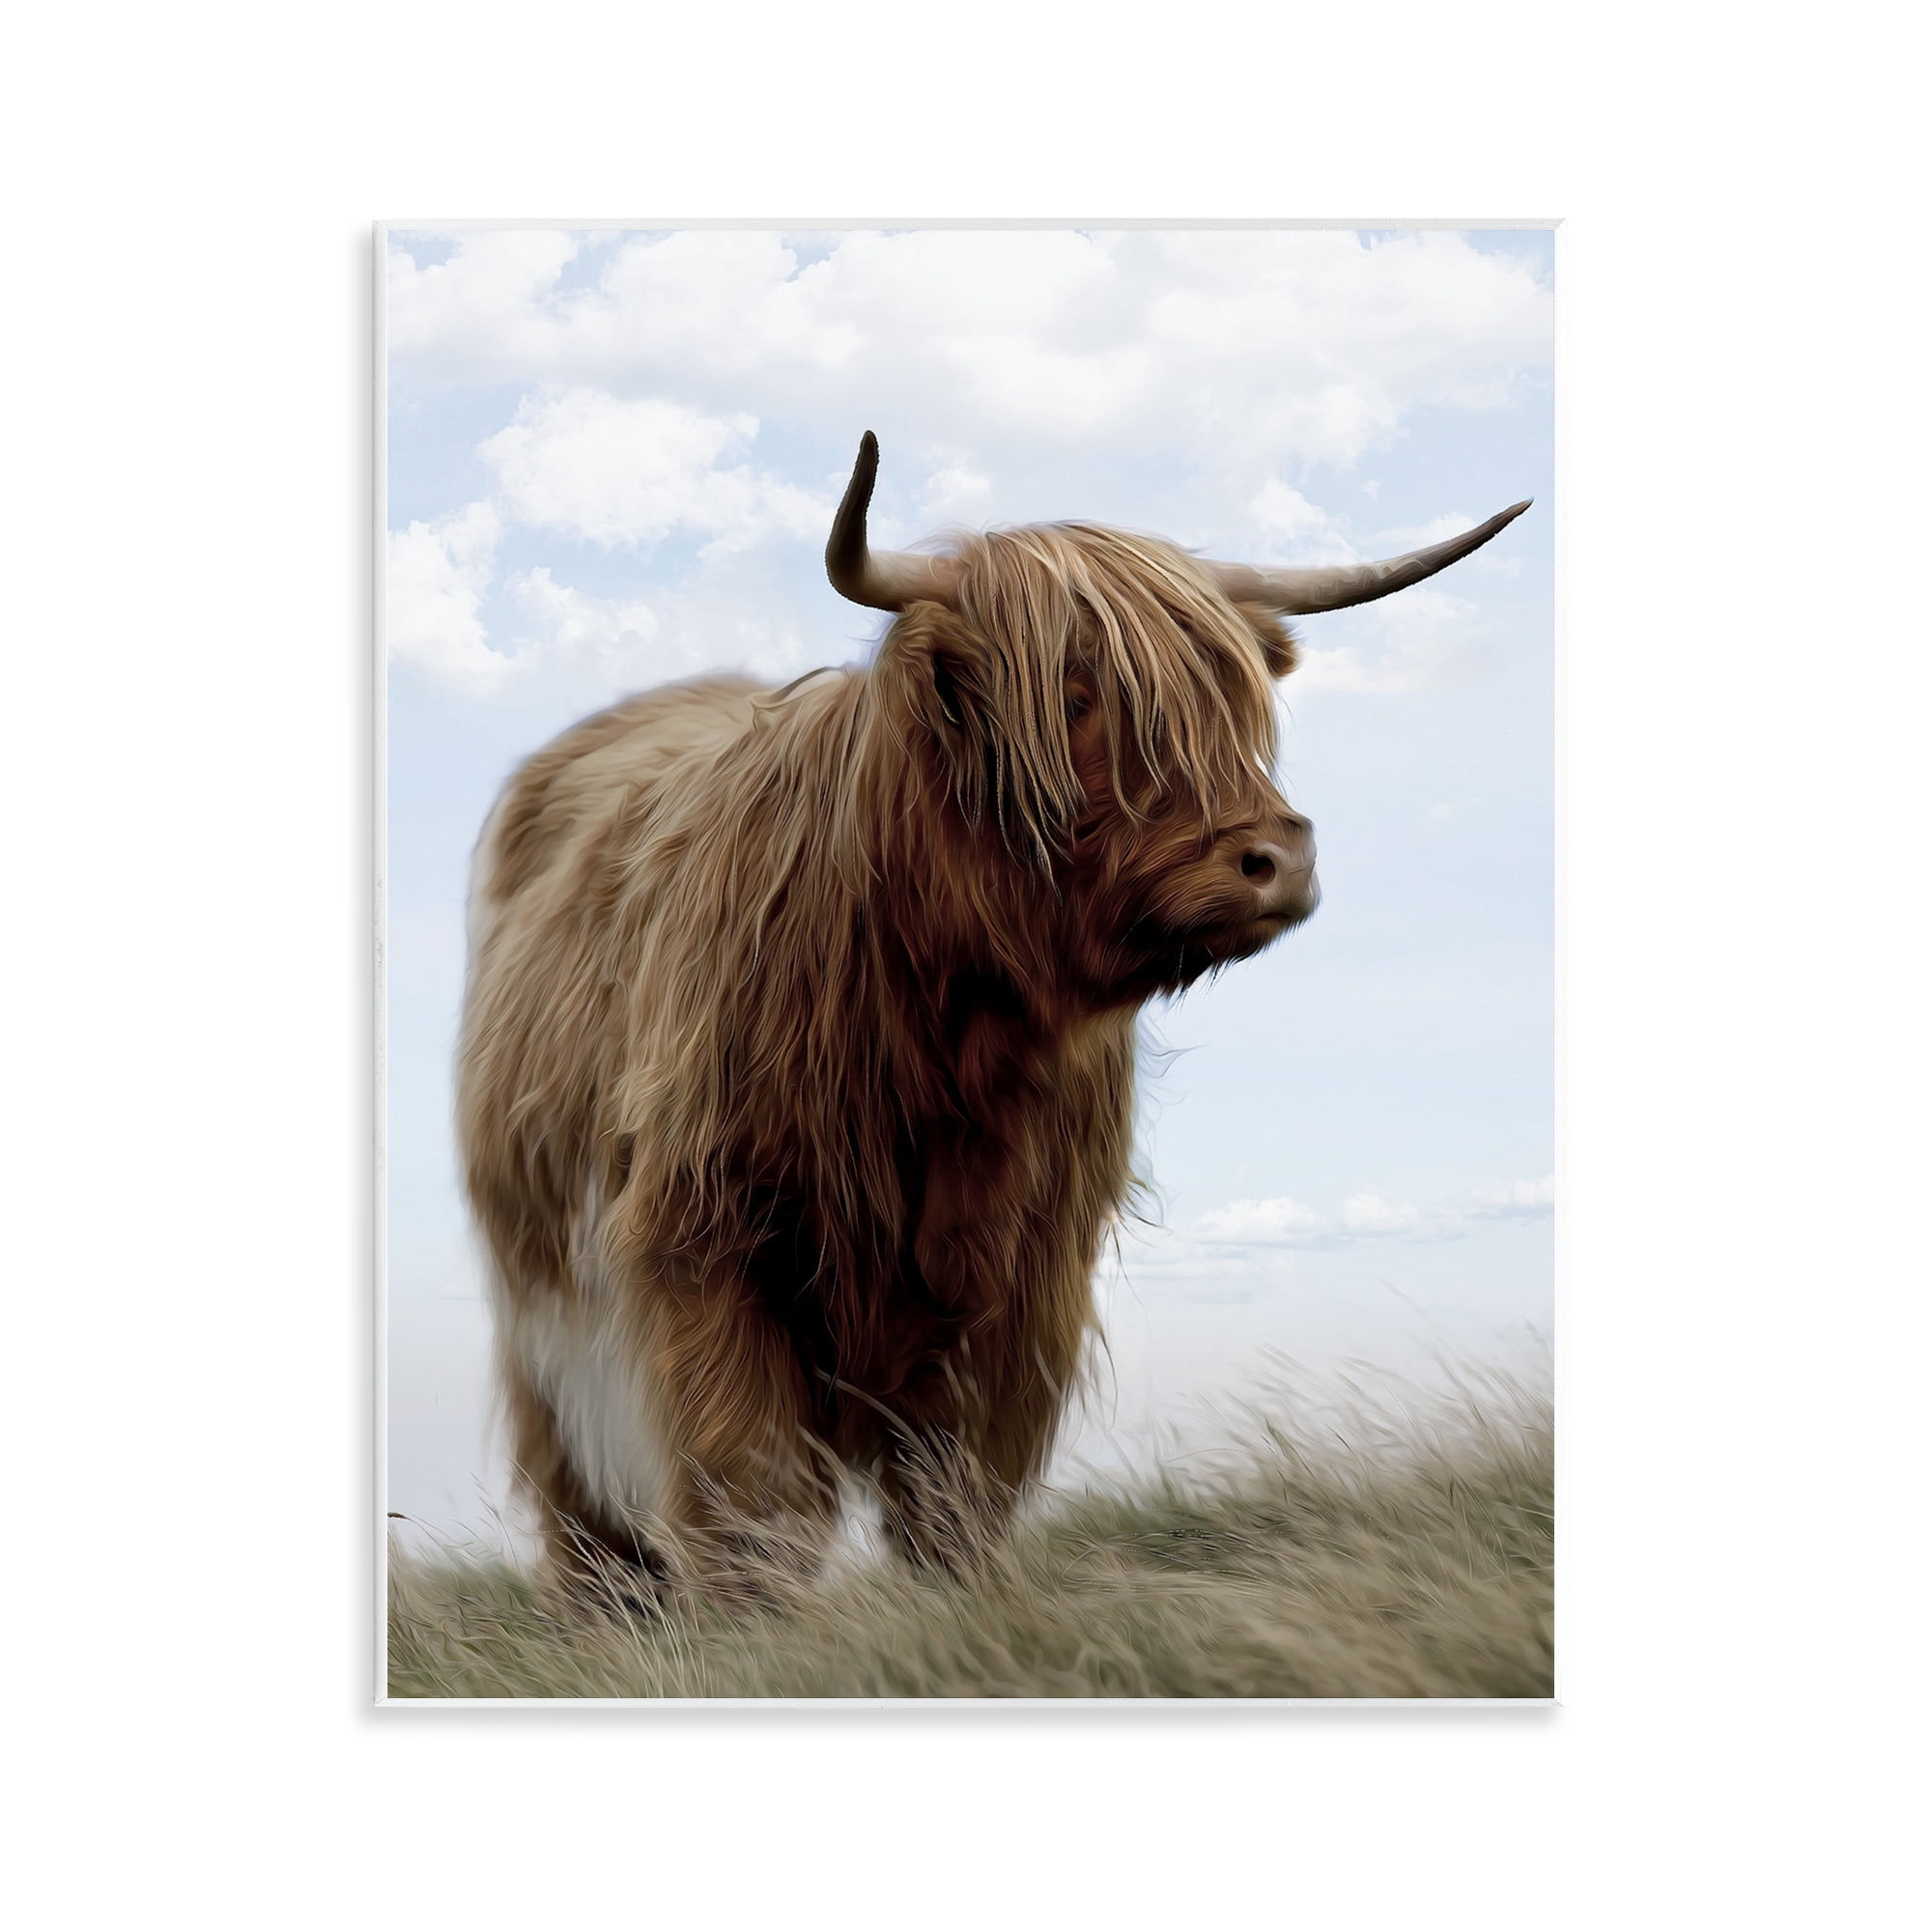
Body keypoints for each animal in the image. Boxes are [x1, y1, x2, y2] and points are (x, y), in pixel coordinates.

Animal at [456, 432, 1528, 1588]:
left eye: (1231, 702)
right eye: (1072, 693)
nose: (1277, 858)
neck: (947, 1035)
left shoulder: (1025, 1282)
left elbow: (956, 1495)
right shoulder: (704, 1237)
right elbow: (749, 1493)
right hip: (545, 1319)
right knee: (586, 1514)